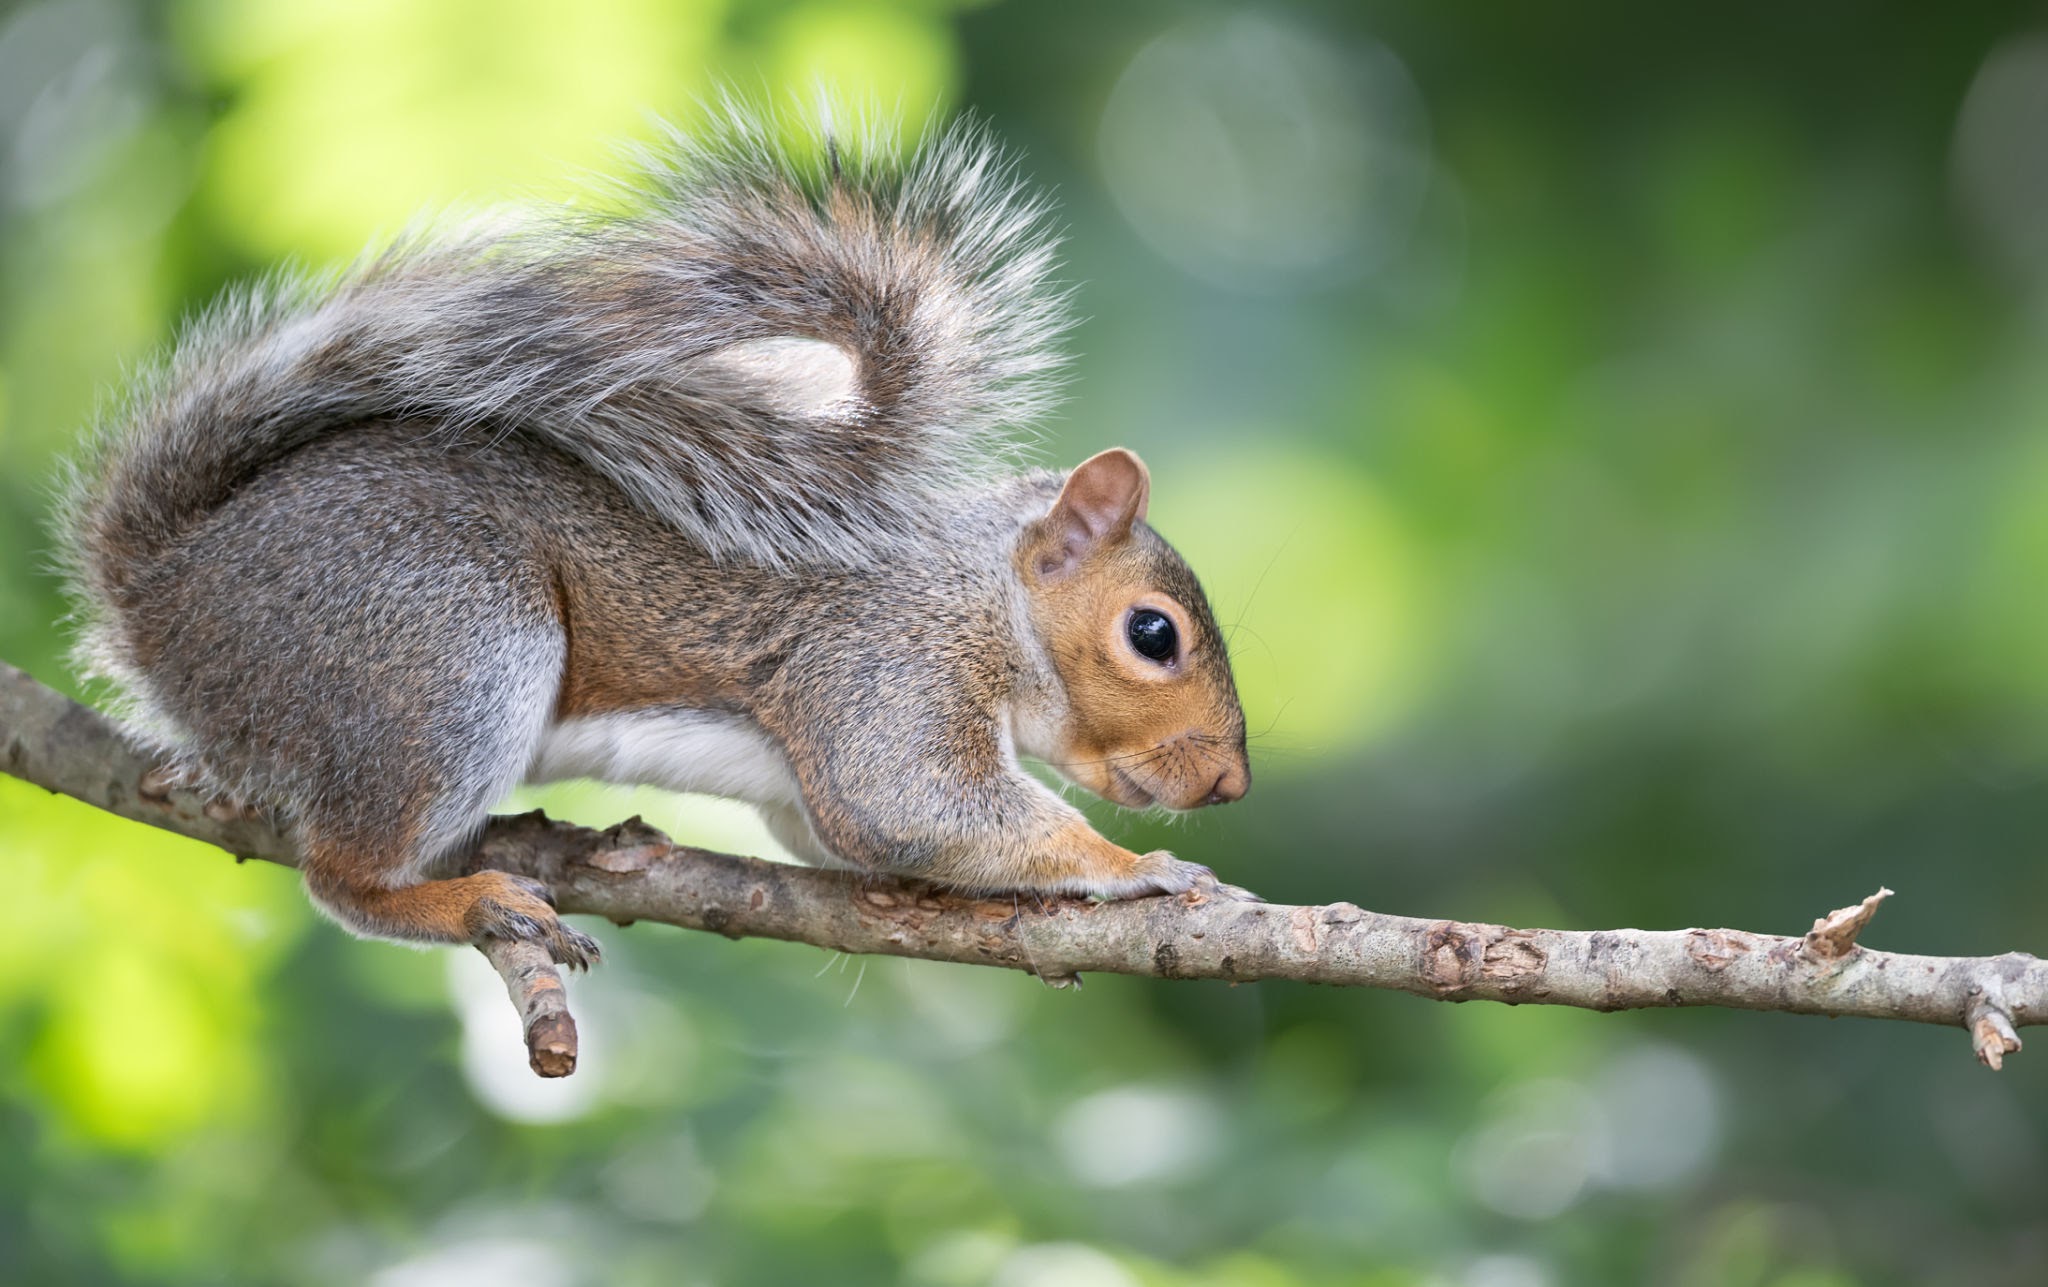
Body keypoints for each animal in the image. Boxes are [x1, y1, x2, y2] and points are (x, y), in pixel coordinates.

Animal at [58, 108, 1254, 969]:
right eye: (1153, 635)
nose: (1230, 788)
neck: (982, 594)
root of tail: (167, 600)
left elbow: (857, 836)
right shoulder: (884, 665)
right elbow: (913, 804)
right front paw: (1144, 868)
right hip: (447, 646)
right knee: (343, 878)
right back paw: (467, 900)